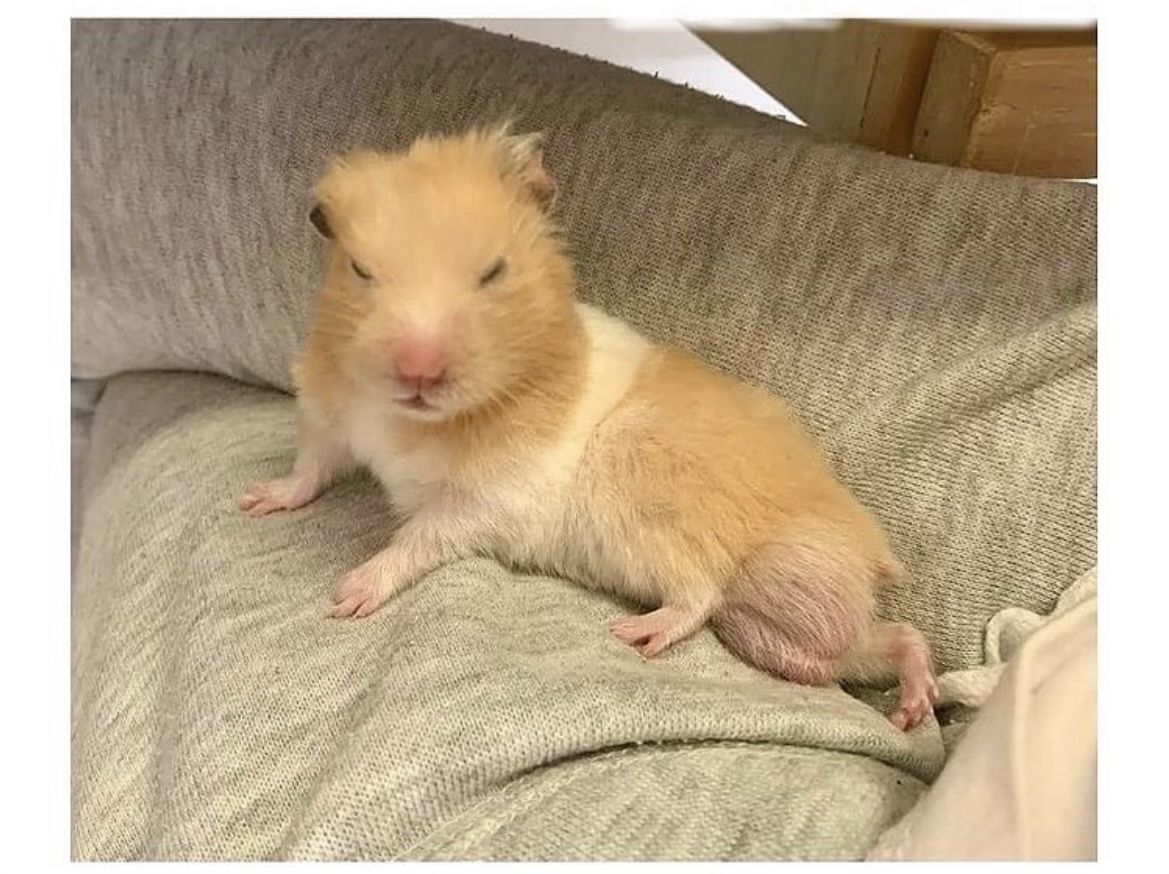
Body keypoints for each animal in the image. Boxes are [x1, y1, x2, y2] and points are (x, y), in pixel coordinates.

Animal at [239, 124, 938, 731]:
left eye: (493, 272)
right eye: (361, 271)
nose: (418, 372)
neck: (408, 418)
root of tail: (870, 557)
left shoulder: (483, 504)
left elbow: (416, 540)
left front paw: (347, 593)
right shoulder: (329, 418)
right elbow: (308, 470)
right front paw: (255, 501)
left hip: (663, 507)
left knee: (702, 595)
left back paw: (636, 634)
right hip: (787, 614)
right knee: (879, 641)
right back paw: (913, 707)